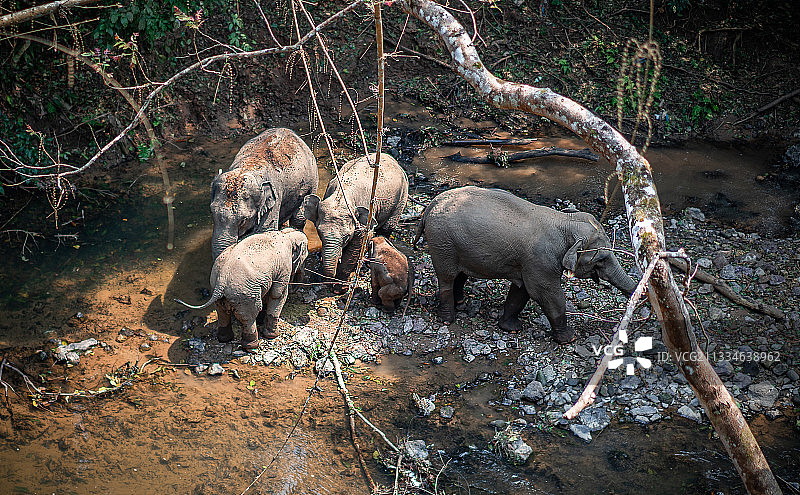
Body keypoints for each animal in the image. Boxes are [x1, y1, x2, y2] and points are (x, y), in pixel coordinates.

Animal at [175, 228, 309, 351]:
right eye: (306, 255)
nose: (297, 289)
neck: (285, 234)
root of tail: (221, 282)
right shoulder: (284, 267)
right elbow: (278, 294)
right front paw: (273, 335)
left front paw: (261, 321)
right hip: (244, 295)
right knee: (249, 317)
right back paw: (252, 347)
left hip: (222, 289)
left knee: (222, 312)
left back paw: (224, 339)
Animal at [210, 127, 318, 260]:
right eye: (212, 212)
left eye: (243, 220)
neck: (247, 168)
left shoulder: (275, 195)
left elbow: (264, 230)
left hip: (312, 182)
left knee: (299, 218)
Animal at [303, 153, 408, 290]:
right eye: (319, 233)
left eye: (347, 237)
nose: (326, 281)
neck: (342, 196)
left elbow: (358, 244)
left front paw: (339, 289)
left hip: (400, 200)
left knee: (386, 229)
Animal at [414, 186, 637, 343]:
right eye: (601, 259)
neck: (565, 221)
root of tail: (430, 205)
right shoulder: (541, 261)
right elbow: (547, 294)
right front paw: (569, 338)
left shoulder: (528, 263)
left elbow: (521, 292)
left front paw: (510, 328)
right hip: (443, 243)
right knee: (447, 277)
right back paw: (447, 318)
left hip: (456, 244)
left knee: (460, 275)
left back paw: (460, 303)